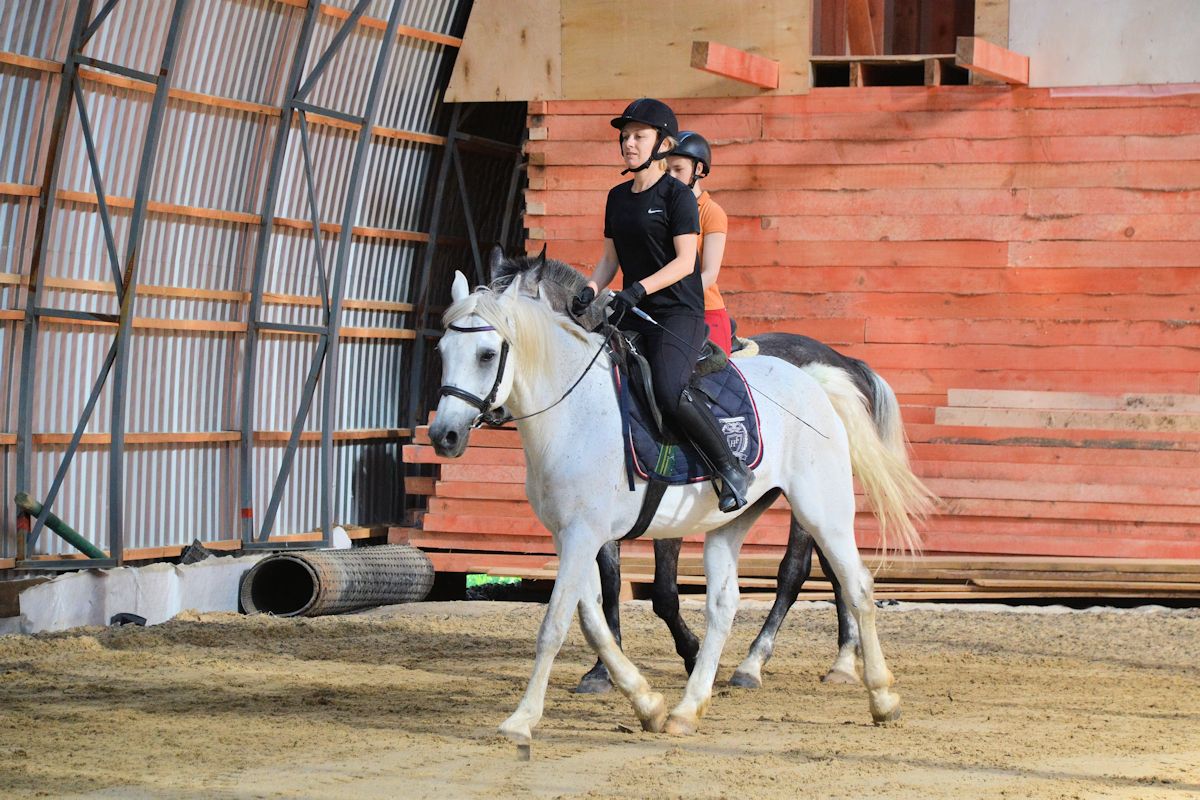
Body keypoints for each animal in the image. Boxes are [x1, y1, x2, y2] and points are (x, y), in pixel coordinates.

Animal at [429, 268, 926, 743]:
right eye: (442, 350)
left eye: (487, 354)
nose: (443, 436)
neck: (574, 415)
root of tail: (816, 377)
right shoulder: (571, 537)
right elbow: (593, 620)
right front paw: (644, 702)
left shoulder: (586, 535)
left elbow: (557, 624)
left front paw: (522, 720)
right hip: (733, 521)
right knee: (724, 604)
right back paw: (689, 708)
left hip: (821, 509)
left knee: (849, 582)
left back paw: (879, 695)